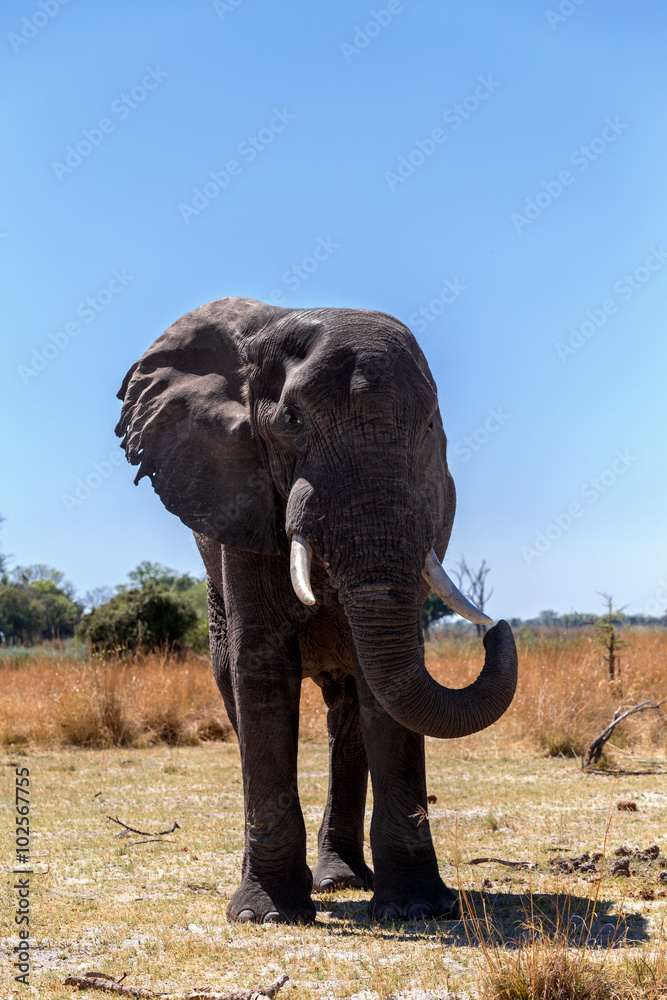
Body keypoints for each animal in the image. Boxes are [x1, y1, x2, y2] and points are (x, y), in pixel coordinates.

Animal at [116, 296, 518, 924]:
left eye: (430, 427)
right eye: (292, 423)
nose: (497, 630)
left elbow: (385, 688)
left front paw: (417, 910)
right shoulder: (241, 497)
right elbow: (261, 670)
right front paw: (266, 915)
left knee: (348, 706)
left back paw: (339, 880)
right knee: (235, 689)